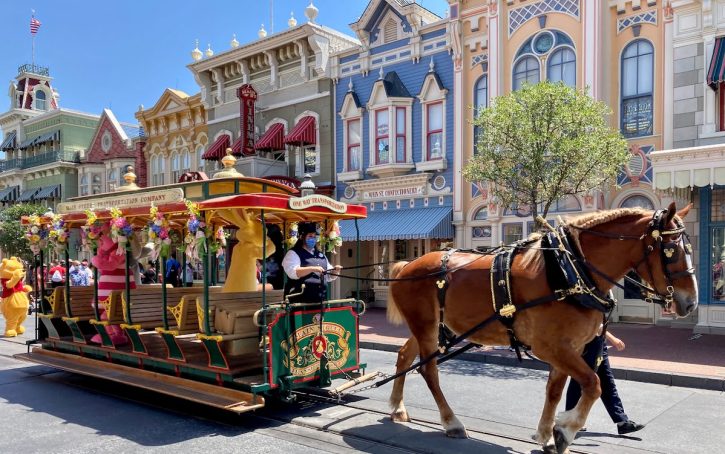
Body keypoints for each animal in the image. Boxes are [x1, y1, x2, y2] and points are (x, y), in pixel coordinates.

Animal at [388, 203, 700, 454]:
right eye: (671, 251)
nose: (691, 302)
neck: (570, 270)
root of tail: (407, 266)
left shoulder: (569, 347)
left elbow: (555, 390)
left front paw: (547, 435)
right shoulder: (552, 346)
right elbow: (593, 383)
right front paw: (565, 430)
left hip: (430, 328)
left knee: (404, 356)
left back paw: (397, 408)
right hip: (426, 327)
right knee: (429, 370)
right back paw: (452, 423)